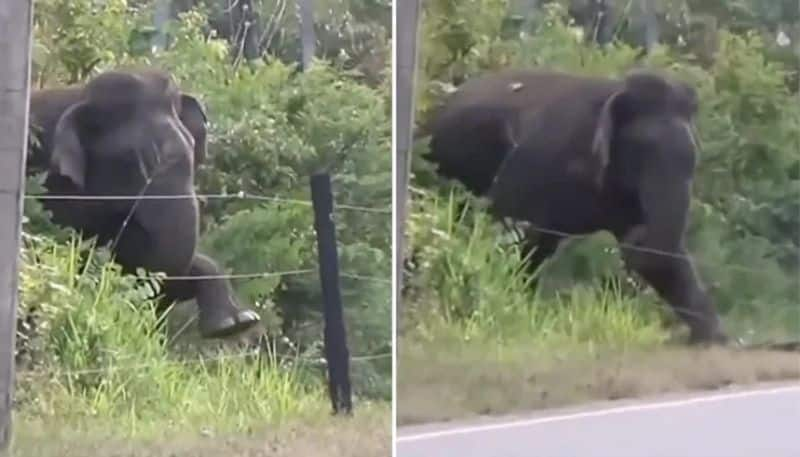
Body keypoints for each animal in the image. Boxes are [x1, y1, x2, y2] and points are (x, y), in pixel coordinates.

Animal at [422, 67, 728, 344]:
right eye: (643, 151)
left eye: (693, 158)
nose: (635, 240)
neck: (614, 90)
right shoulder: (538, 164)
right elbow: (514, 232)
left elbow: (666, 259)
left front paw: (714, 339)